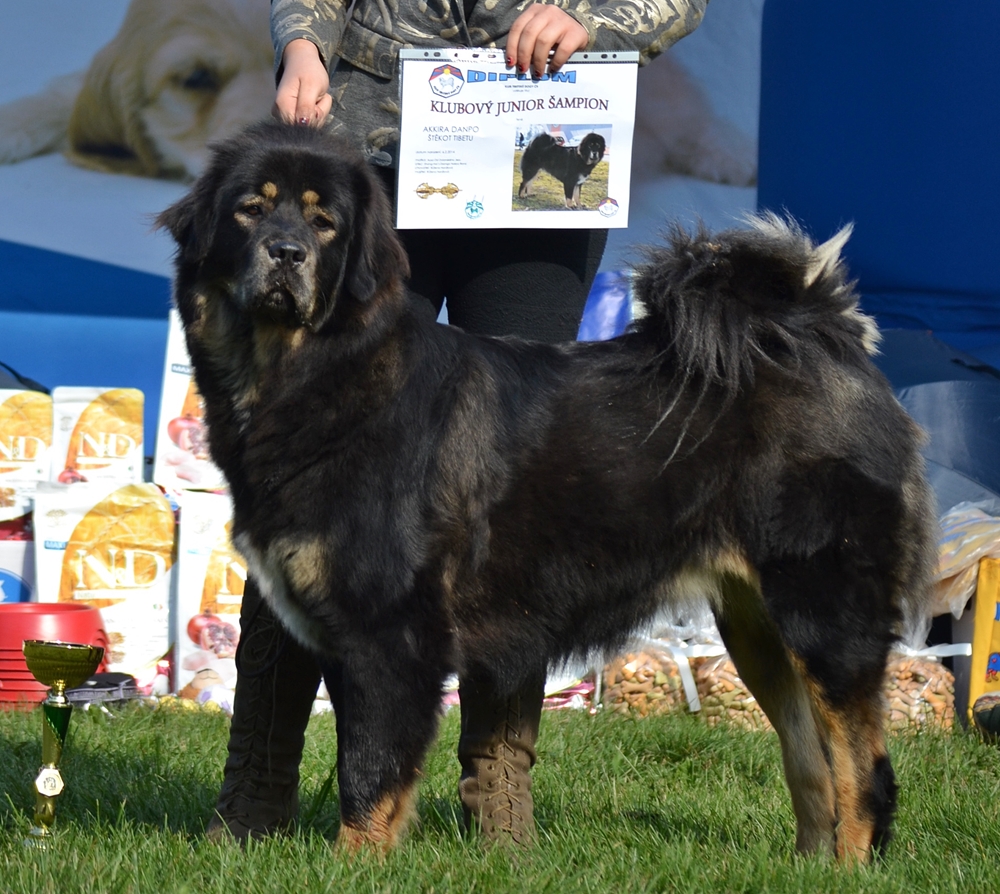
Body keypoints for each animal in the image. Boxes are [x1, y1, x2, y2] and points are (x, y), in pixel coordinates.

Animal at [158, 122, 936, 864]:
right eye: (250, 210)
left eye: (325, 225)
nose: (286, 252)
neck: (316, 377)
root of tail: (824, 338)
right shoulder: (347, 640)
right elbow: (372, 770)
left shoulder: (391, 636)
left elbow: (369, 777)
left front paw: (354, 869)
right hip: (758, 625)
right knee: (812, 764)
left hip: (825, 614)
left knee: (864, 775)